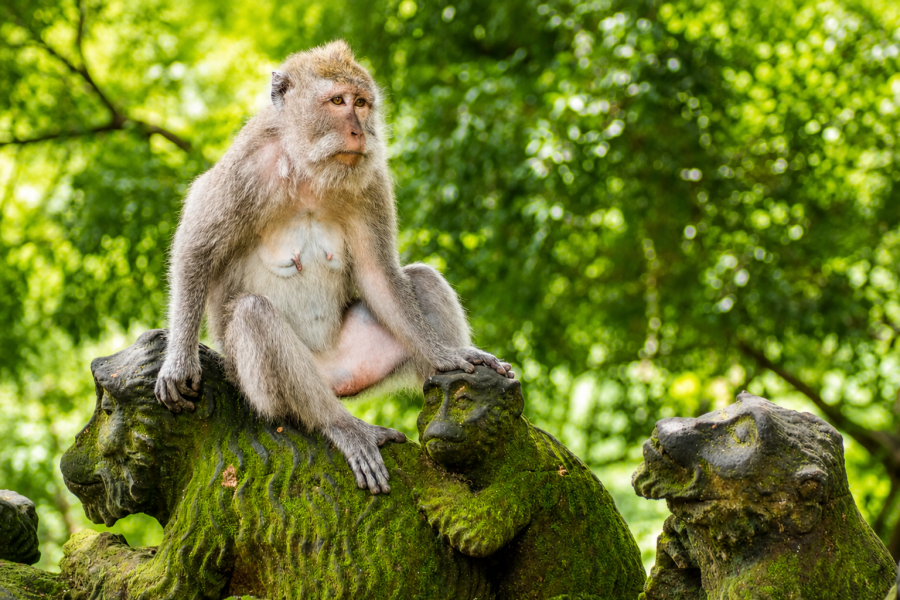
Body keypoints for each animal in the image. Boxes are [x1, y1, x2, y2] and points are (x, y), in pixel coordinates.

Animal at [155, 40, 513, 496]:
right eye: (338, 101)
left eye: (361, 103)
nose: (359, 131)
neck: (309, 168)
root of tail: (331, 379)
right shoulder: (244, 169)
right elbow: (196, 251)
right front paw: (179, 361)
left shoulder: (371, 180)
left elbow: (379, 274)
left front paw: (449, 355)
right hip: (258, 387)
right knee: (254, 315)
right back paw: (342, 425)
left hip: (358, 362)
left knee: (421, 279)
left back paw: (447, 381)